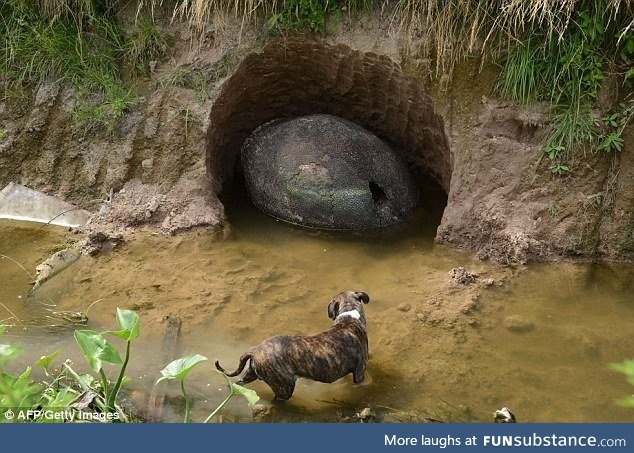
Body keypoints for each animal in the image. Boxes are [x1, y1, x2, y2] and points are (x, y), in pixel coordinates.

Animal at [215, 290, 368, 400]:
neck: (349, 317)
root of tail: (256, 349)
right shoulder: (359, 373)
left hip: (249, 375)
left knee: (237, 385)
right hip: (284, 387)